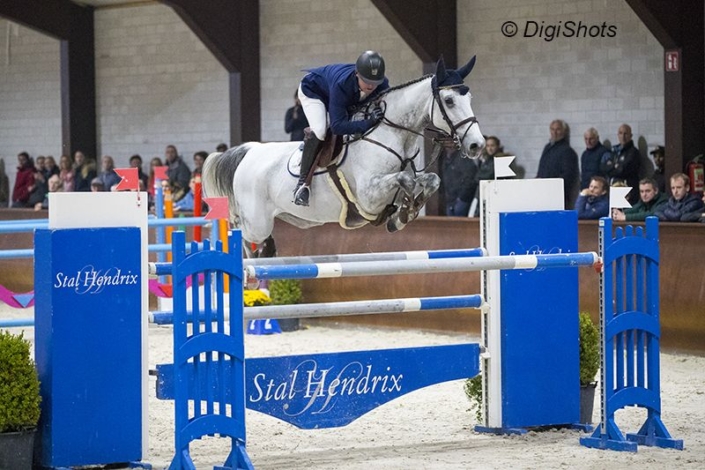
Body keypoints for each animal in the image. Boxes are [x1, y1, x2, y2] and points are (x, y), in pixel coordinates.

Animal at [201, 56, 485, 256]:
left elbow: (431, 180)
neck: (393, 134)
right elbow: (405, 178)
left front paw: (404, 213)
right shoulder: (368, 196)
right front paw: (404, 212)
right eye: (449, 101)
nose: (476, 145)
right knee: (242, 235)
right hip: (256, 223)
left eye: (470, 97)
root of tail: (249, 151)